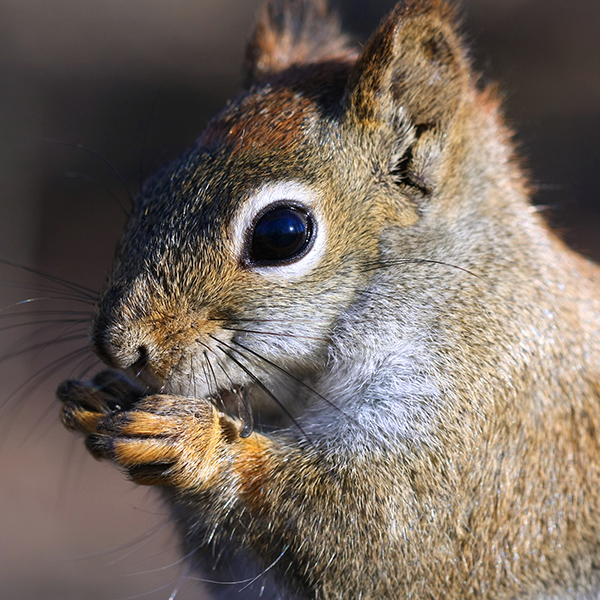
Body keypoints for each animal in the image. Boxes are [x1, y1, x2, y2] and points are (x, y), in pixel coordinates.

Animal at [56, 0, 600, 596]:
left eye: (283, 233)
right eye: (149, 194)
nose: (118, 348)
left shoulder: (494, 424)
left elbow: (382, 535)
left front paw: (195, 445)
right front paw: (105, 396)